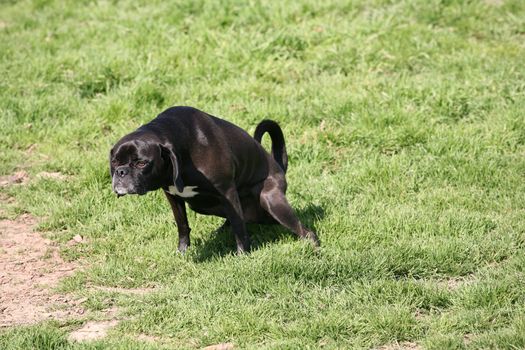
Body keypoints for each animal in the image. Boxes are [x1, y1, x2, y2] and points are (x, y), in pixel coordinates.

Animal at [108, 105, 318, 253]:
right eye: (114, 161)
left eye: (141, 163)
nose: (121, 172)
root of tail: (279, 167)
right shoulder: (173, 196)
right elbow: (182, 225)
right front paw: (182, 251)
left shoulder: (227, 192)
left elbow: (239, 228)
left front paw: (243, 254)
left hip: (272, 202)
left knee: (305, 231)